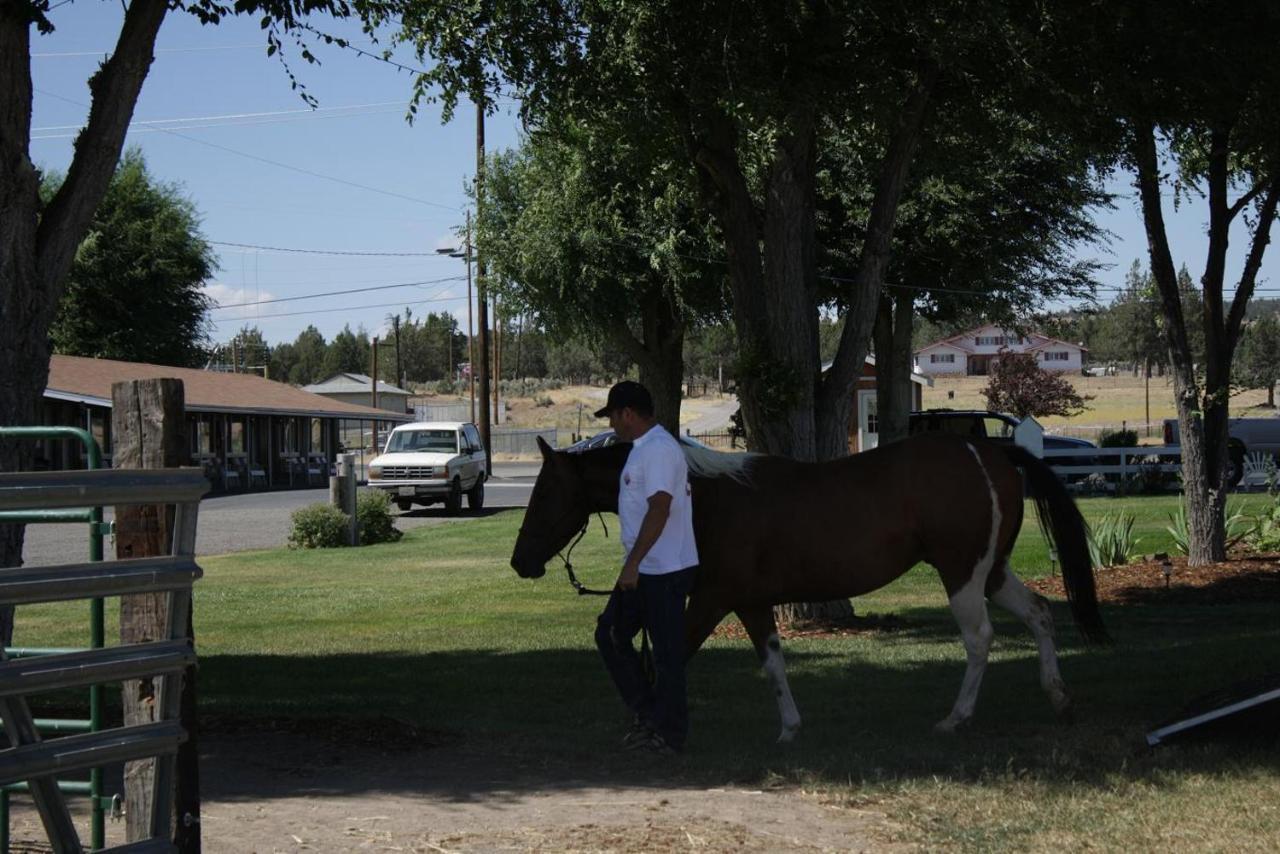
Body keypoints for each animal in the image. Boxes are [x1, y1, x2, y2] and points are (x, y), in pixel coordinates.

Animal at [509, 435, 1111, 742]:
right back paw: (1059, 698)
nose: (520, 561)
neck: (703, 497)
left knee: (980, 639)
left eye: (546, 492)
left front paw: (654, 723)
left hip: (961, 573)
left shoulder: (712, 598)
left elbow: (671, 653)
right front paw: (790, 729)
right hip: (991, 571)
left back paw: (956, 718)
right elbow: (773, 664)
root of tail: (989, 452)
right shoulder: (751, 602)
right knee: (1039, 613)